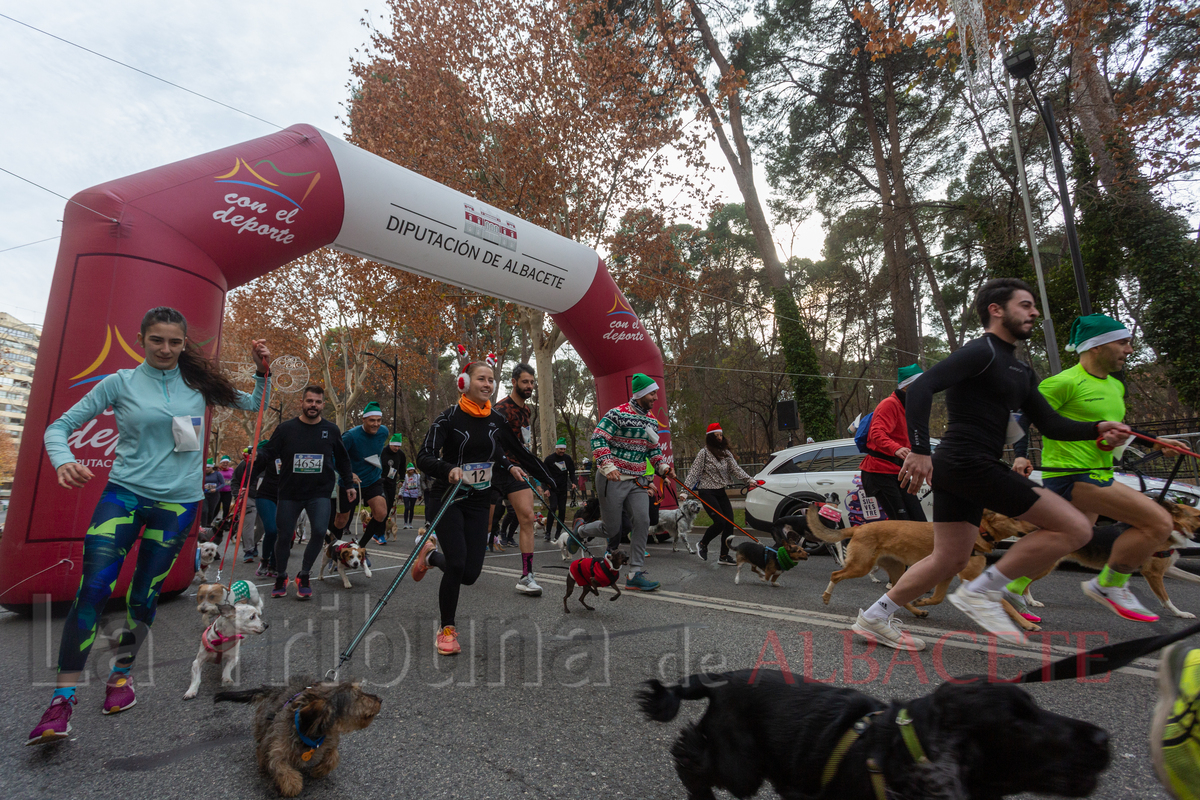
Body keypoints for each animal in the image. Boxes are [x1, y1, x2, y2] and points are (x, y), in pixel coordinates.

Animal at [213, 676, 381, 800]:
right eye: (357, 696)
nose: (380, 699)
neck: (310, 734)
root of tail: (276, 687)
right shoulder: (276, 748)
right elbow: (281, 767)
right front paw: (292, 785)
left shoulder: (330, 741)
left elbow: (333, 758)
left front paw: (319, 770)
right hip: (264, 723)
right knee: (261, 744)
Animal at [643, 671, 1108, 800]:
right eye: (1017, 723)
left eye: (1036, 706)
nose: (1103, 738)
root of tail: (720, 679)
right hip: (743, 767)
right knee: (690, 755)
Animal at [816, 506, 1041, 618]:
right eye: (1015, 517)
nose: (1037, 528)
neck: (980, 532)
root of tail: (859, 527)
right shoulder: (972, 580)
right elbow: (1007, 605)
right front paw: (1027, 624)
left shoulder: (946, 575)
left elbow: (938, 598)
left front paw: (923, 602)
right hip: (862, 566)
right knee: (835, 575)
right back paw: (826, 596)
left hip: (898, 569)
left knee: (896, 593)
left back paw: (917, 611)